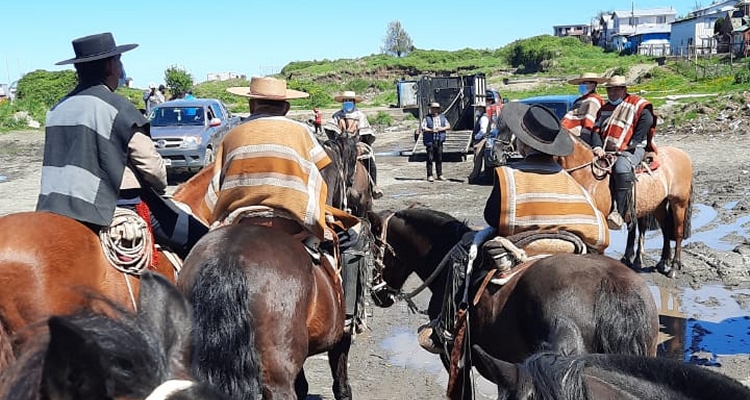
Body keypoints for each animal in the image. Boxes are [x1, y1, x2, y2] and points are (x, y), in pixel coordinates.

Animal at [560, 133, 696, 276]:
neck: (589, 175)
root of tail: (683, 155)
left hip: (679, 203)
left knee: (677, 232)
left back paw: (673, 267)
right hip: (658, 205)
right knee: (665, 230)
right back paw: (662, 262)